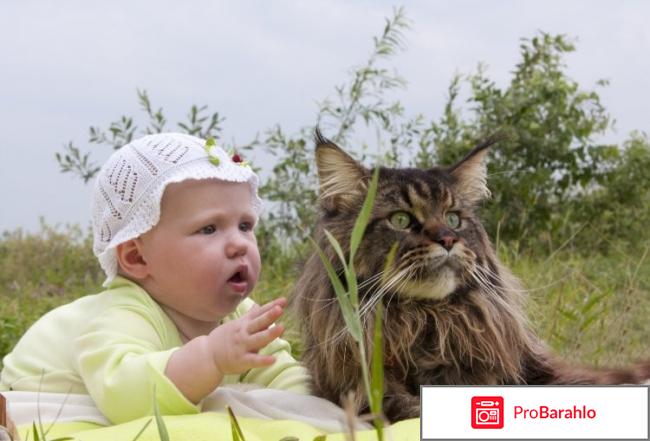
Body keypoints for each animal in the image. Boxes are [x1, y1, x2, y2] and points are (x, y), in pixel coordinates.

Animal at [292, 130, 648, 420]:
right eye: (401, 220)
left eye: (454, 218)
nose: (448, 240)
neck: (427, 320)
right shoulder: (354, 388)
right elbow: (400, 406)